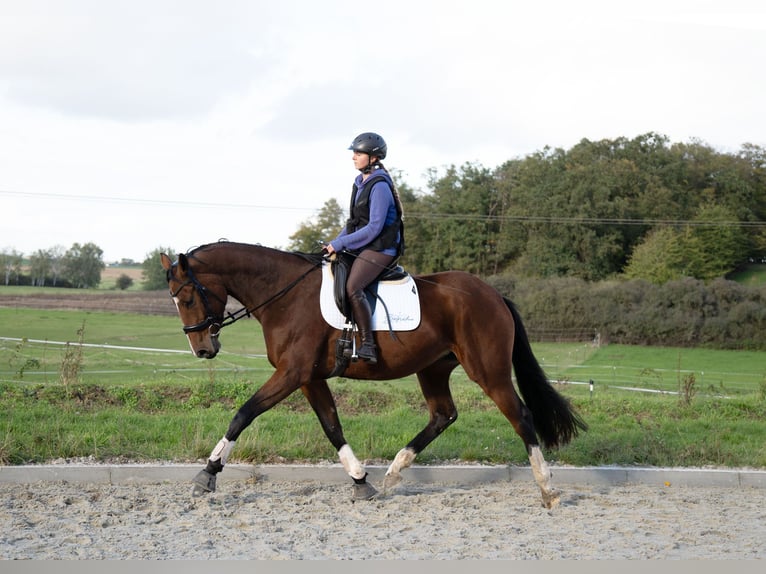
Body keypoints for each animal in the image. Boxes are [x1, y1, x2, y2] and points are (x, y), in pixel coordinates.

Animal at [160, 241, 588, 510]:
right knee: (443, 415)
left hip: (488, 371)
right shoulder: (309, 378)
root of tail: (493, 295)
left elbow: (244, 413)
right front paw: (360, 481)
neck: (284, 295)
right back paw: (394, 472)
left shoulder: (291, 373)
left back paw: (547, 488)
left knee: (521, 416)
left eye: (188, 298)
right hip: (433, 368)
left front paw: (208, 473)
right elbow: (332, 426)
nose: (202, 349)